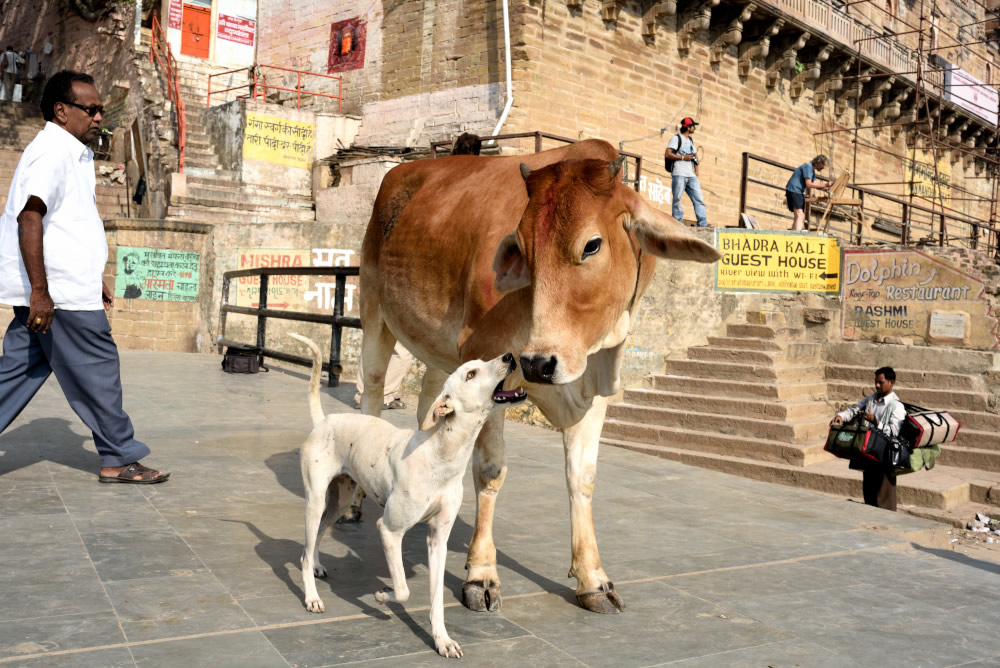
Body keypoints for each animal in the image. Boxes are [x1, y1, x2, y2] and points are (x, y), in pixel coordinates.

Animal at [288, 334, 528, 656]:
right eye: (470, 374)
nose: (509, 357)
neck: (440, 454)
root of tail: (324, 421)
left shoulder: (438, 538)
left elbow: (437, 598)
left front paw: (442, 640)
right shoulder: (389, 530)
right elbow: (402, 590)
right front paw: (381, 596)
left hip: (340, 501)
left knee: (316, 537)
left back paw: (315, 565)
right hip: (315, 500)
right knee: (305, 548)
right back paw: (312, 597)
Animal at [358, 138, 720, 612]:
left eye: (592, 245)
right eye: (523, 250)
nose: (537, 364)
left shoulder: (593, 384)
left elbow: (582, 477)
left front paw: (592, 578)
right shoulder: (488, 362)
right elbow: (491, 470)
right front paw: (481, 574)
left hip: (437, 352)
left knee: (428, 403)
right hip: (373, 314)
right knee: (371, 390)